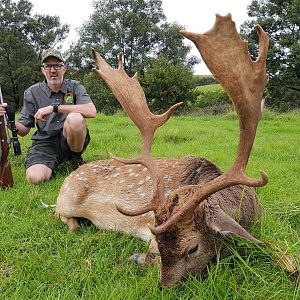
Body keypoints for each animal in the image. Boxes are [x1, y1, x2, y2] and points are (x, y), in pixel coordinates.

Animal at [55, 13, 268, 286]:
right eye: (157, 240)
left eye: (193, 248)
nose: (164, 285)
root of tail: (71, 174)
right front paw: (139, 258)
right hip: (66, 199)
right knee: (60, 214)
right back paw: (78, 226)